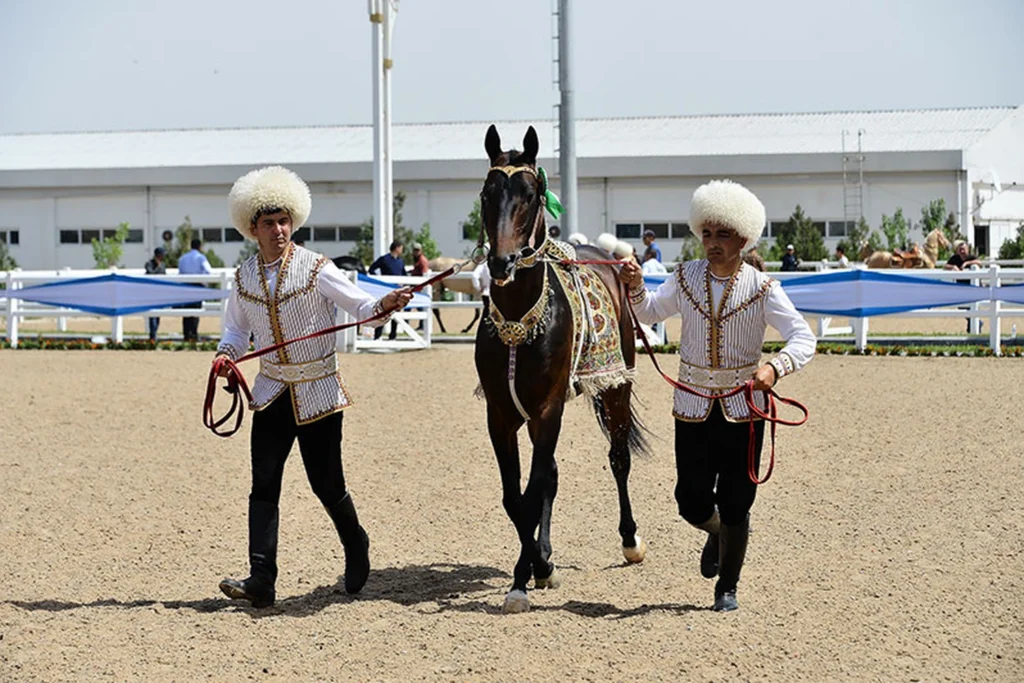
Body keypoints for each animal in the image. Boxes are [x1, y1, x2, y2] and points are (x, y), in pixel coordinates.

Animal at [474, 124, 649, 614]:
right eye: (487, 193)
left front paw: (525, 575)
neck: (520, 318)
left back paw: (630, 541)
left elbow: (532, 492)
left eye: (531, 195)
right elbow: (516, 498)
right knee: (548, 476)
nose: (502, 262)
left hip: (614, 389)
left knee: (618, 458)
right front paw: (538, 565)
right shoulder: (502, 416)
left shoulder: (547, 410)